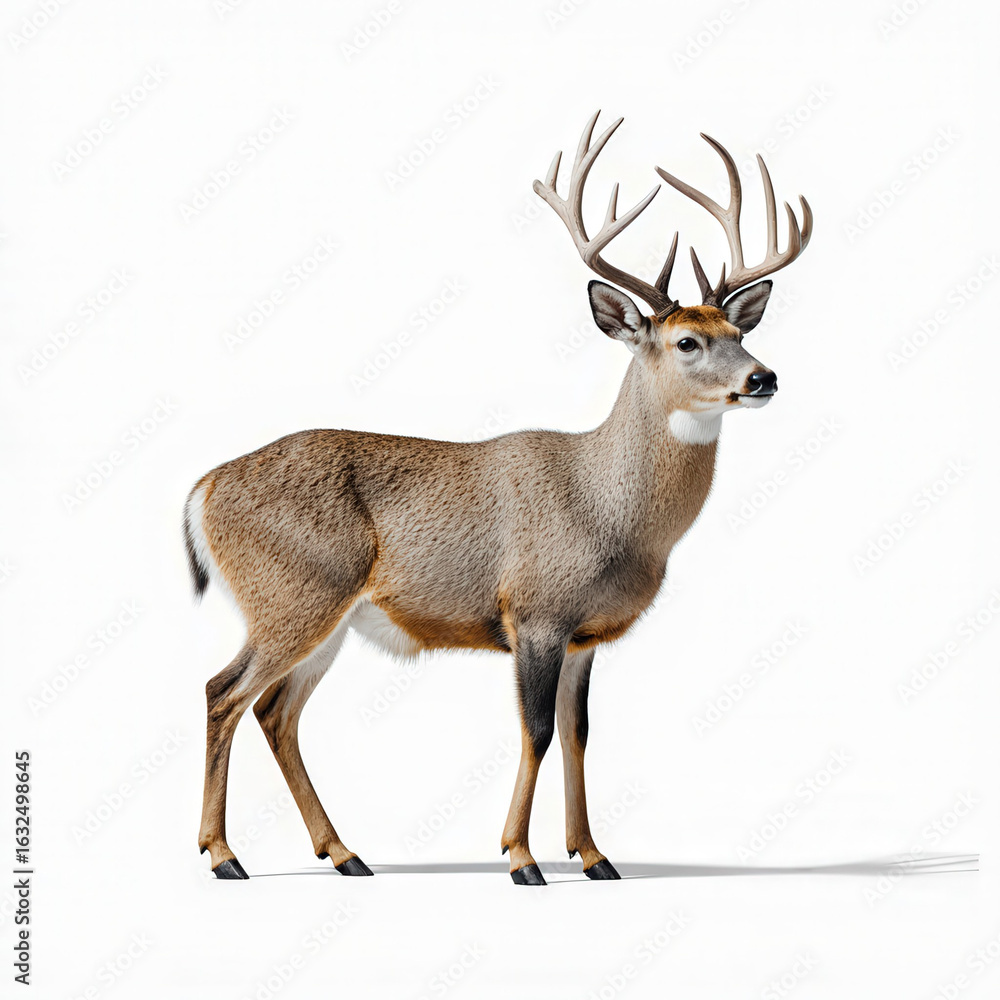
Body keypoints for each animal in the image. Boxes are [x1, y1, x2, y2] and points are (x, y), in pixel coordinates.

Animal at [184, 111, 812, 886]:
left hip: (327, 616)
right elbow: (535, 729)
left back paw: (344, 853)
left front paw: (595, 856)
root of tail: (205, 487)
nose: (763, 378)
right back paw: (223, 855)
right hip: (291, 593)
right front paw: (521, 857)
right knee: (223, 693)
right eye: (687, 341)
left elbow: (578, 732)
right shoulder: (534, 611)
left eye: (740, 330)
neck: (607, 512)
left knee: (275, 711)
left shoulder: (585, 633)